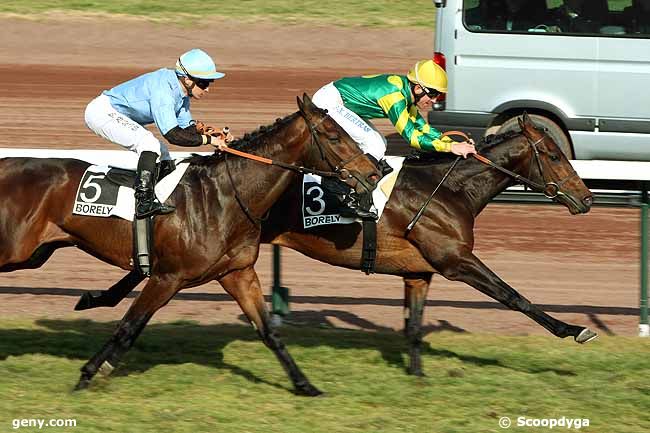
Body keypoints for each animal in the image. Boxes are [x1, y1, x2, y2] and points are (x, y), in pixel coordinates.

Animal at [0, 94, 380, 394]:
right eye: (334, 135)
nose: (375, 172)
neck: (225, 196)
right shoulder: (167, 278)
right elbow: (128, 328)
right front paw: (89, 374)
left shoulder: (237, 273)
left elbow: (269, 332)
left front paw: (304, 384)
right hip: (15, 250)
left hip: (33, 254)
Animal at [78, 112, 596, 382]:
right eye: (554, 154)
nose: (588, 199)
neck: (449, 190)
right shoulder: (455, 260)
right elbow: (514, 296)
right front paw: (573, 330)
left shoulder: (419, 271)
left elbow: (414, 326)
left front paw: (416, 376)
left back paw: (97, 297)